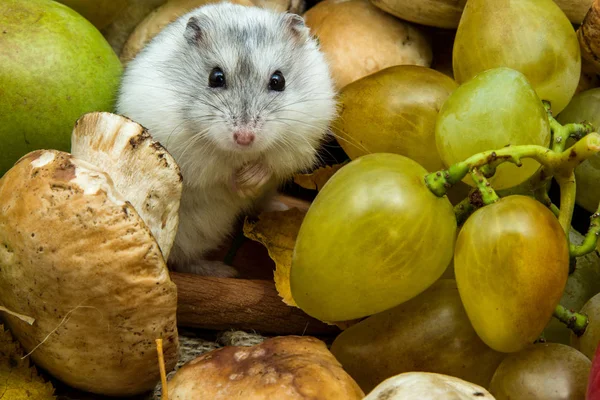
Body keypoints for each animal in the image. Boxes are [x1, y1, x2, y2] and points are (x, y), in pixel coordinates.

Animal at [116, 2, 338, 278]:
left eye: (279, 81)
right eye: (215, 77)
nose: (244, 137)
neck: (242, 154)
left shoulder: (300, 139)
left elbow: (272, 162)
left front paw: (252, 178)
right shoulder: (191, 156)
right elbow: (219, 172)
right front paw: (242, 185)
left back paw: (278, 208)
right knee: (183, 259)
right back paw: (223, 271)